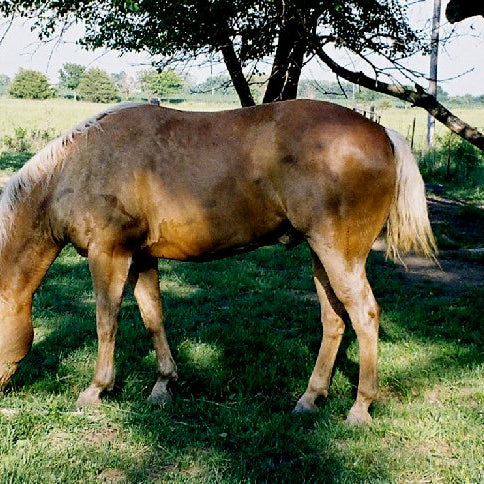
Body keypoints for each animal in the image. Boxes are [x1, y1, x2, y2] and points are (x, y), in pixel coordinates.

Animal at [0, 99, 438, 424]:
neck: (77, 166)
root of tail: (383, 134)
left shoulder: (109, 254)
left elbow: (106, 322)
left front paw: (96, 389)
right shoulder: (141, 257)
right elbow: (153, 317)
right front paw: (164, 384)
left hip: (340, 256)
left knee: (364, 315)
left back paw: (360, 408)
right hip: (320, 255)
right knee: (334, 320)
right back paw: (310, 398)